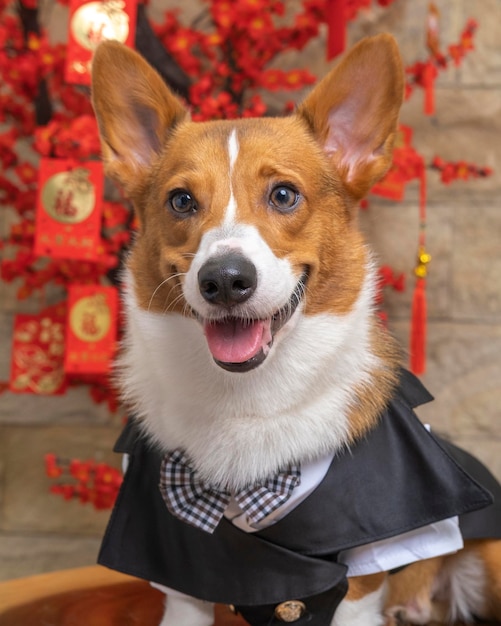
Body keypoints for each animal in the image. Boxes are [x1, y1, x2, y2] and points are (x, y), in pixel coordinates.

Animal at [91, 35, 500, 624]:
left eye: (284, 195)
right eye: (181, 201)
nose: (224, 280)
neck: (245, 401)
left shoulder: (367, 565)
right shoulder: (175, 565)